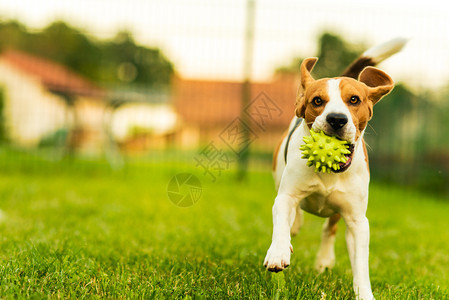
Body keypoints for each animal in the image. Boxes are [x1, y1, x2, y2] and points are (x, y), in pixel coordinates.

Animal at [262, 38, 406, 298]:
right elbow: (282, 218)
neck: (329, 172)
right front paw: (278, 253)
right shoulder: (286, 196)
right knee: (295, 219)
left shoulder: (358, 221)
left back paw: (324, 260)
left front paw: (364, 293)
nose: (337, 119)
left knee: (329, 228)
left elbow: (360, 263)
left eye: (354, 100)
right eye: (317, 101)